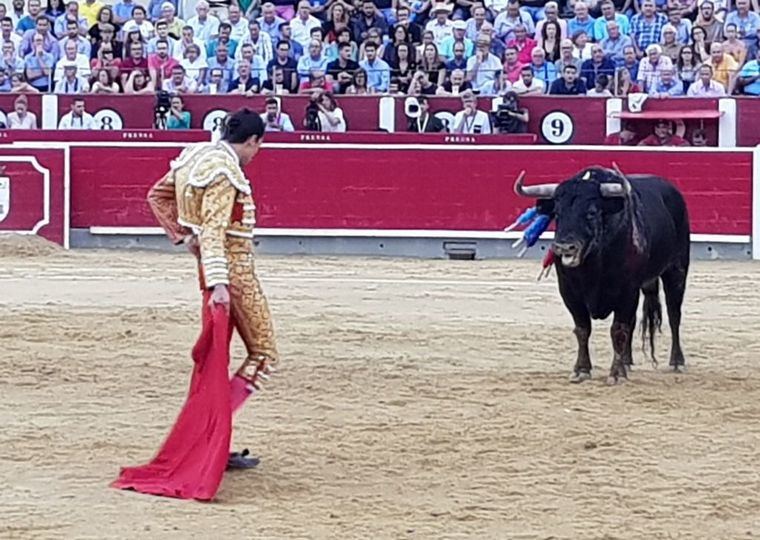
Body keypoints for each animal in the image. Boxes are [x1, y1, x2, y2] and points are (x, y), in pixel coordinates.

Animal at [516, 165, 688, 384]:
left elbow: (618, 330)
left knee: (674, 314)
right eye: (557, 212)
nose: (564, 248)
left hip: (677, 269)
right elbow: (582, 329)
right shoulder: (569, 291)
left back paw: (677, 362)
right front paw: (581, 370)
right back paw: (627, 361)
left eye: (591, 212)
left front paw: (616, 374)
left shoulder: (627, 291)